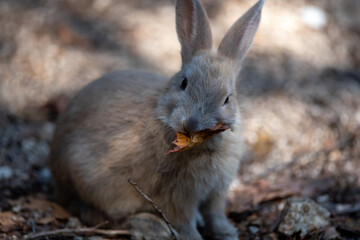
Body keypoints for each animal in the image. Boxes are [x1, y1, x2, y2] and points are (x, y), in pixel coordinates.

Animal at [50, 0, 264, 239]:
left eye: (228, 98)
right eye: (184, 83)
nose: (192, 123)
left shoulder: (216, 192)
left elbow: (215, 215)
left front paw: (227, 233)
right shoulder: (177, 197)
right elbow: (184, 222)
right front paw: (195, 237)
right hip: (94, 184)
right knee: (99, 216)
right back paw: (151, 227)